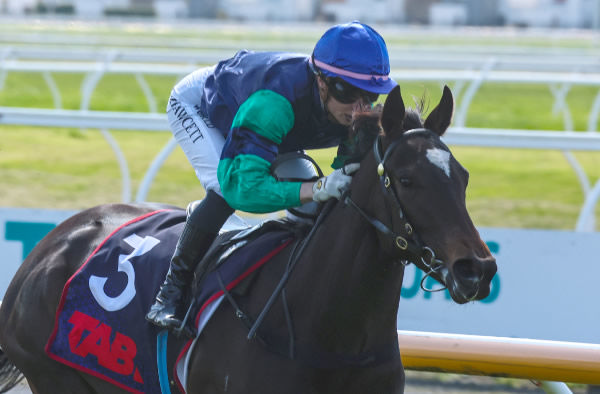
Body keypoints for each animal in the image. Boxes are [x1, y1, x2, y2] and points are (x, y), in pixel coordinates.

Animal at [0, 87, 496, 394]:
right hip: (53, 374)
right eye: (407, 180)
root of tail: (50, 244)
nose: (478, 268)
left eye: (465, 177)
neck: (330, 333)